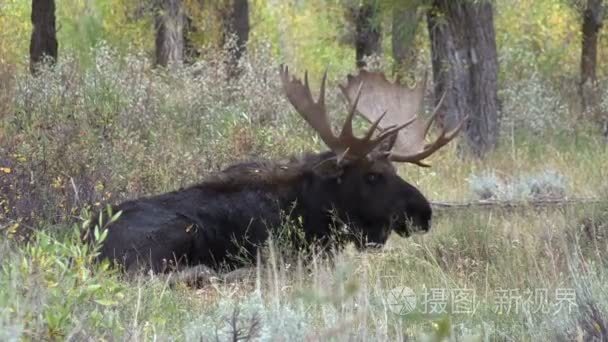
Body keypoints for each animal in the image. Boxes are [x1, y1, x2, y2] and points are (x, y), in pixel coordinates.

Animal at [90, 63, 464, 272]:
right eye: (373, 176)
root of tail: (83, 240)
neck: (312, 209)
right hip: (176, 234)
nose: (424, 212)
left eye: (396, 172)